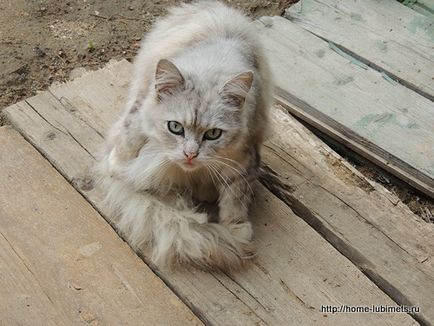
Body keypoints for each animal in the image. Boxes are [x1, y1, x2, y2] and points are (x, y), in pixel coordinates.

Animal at [96, 0, 272, 270]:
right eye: (175, 127)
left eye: (213, 134)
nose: (190, 155)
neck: (212, 65)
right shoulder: (141, 111)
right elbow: (128, 140)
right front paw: (115, 167)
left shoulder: (243, 157)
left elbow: (235, 199)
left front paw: (236, 231)